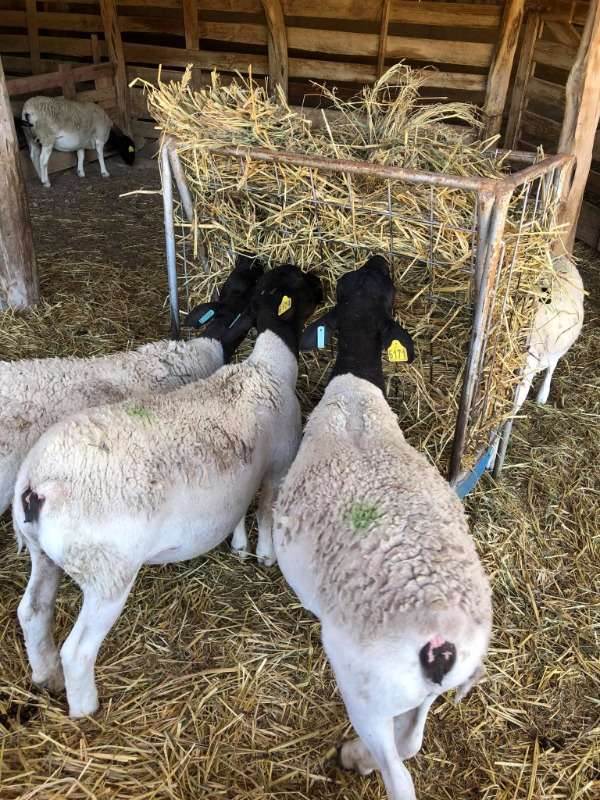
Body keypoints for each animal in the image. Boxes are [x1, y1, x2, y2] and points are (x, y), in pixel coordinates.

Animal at [272, 256, 492, 800]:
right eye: (362, 282)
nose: (377, 259)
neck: (356, 392)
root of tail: (441, 643)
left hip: (364, 686)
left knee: (401, 769)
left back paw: (358, 757)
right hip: (420, 688)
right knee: (412, 735)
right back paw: (362, 756)